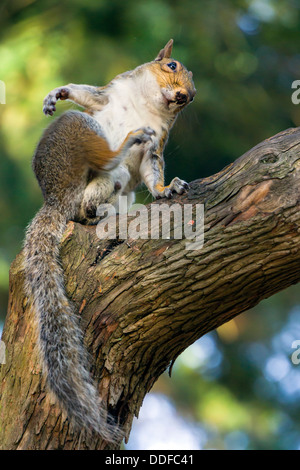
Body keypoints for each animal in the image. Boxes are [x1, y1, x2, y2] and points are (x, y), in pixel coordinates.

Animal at [24, 38, 197, 442]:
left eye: (192, 97)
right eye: (171, 65)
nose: (184, 95)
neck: (147, 105)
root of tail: (56, 199)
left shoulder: (155, 146)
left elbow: (153, 171)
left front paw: (167, 189)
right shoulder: (107, 95)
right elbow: (86, 94)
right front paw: (57, 93)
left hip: (116, 187)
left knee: (93, 201)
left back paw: (104, 210)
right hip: (78, 136)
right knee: (95, 164)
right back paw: (121, 145)